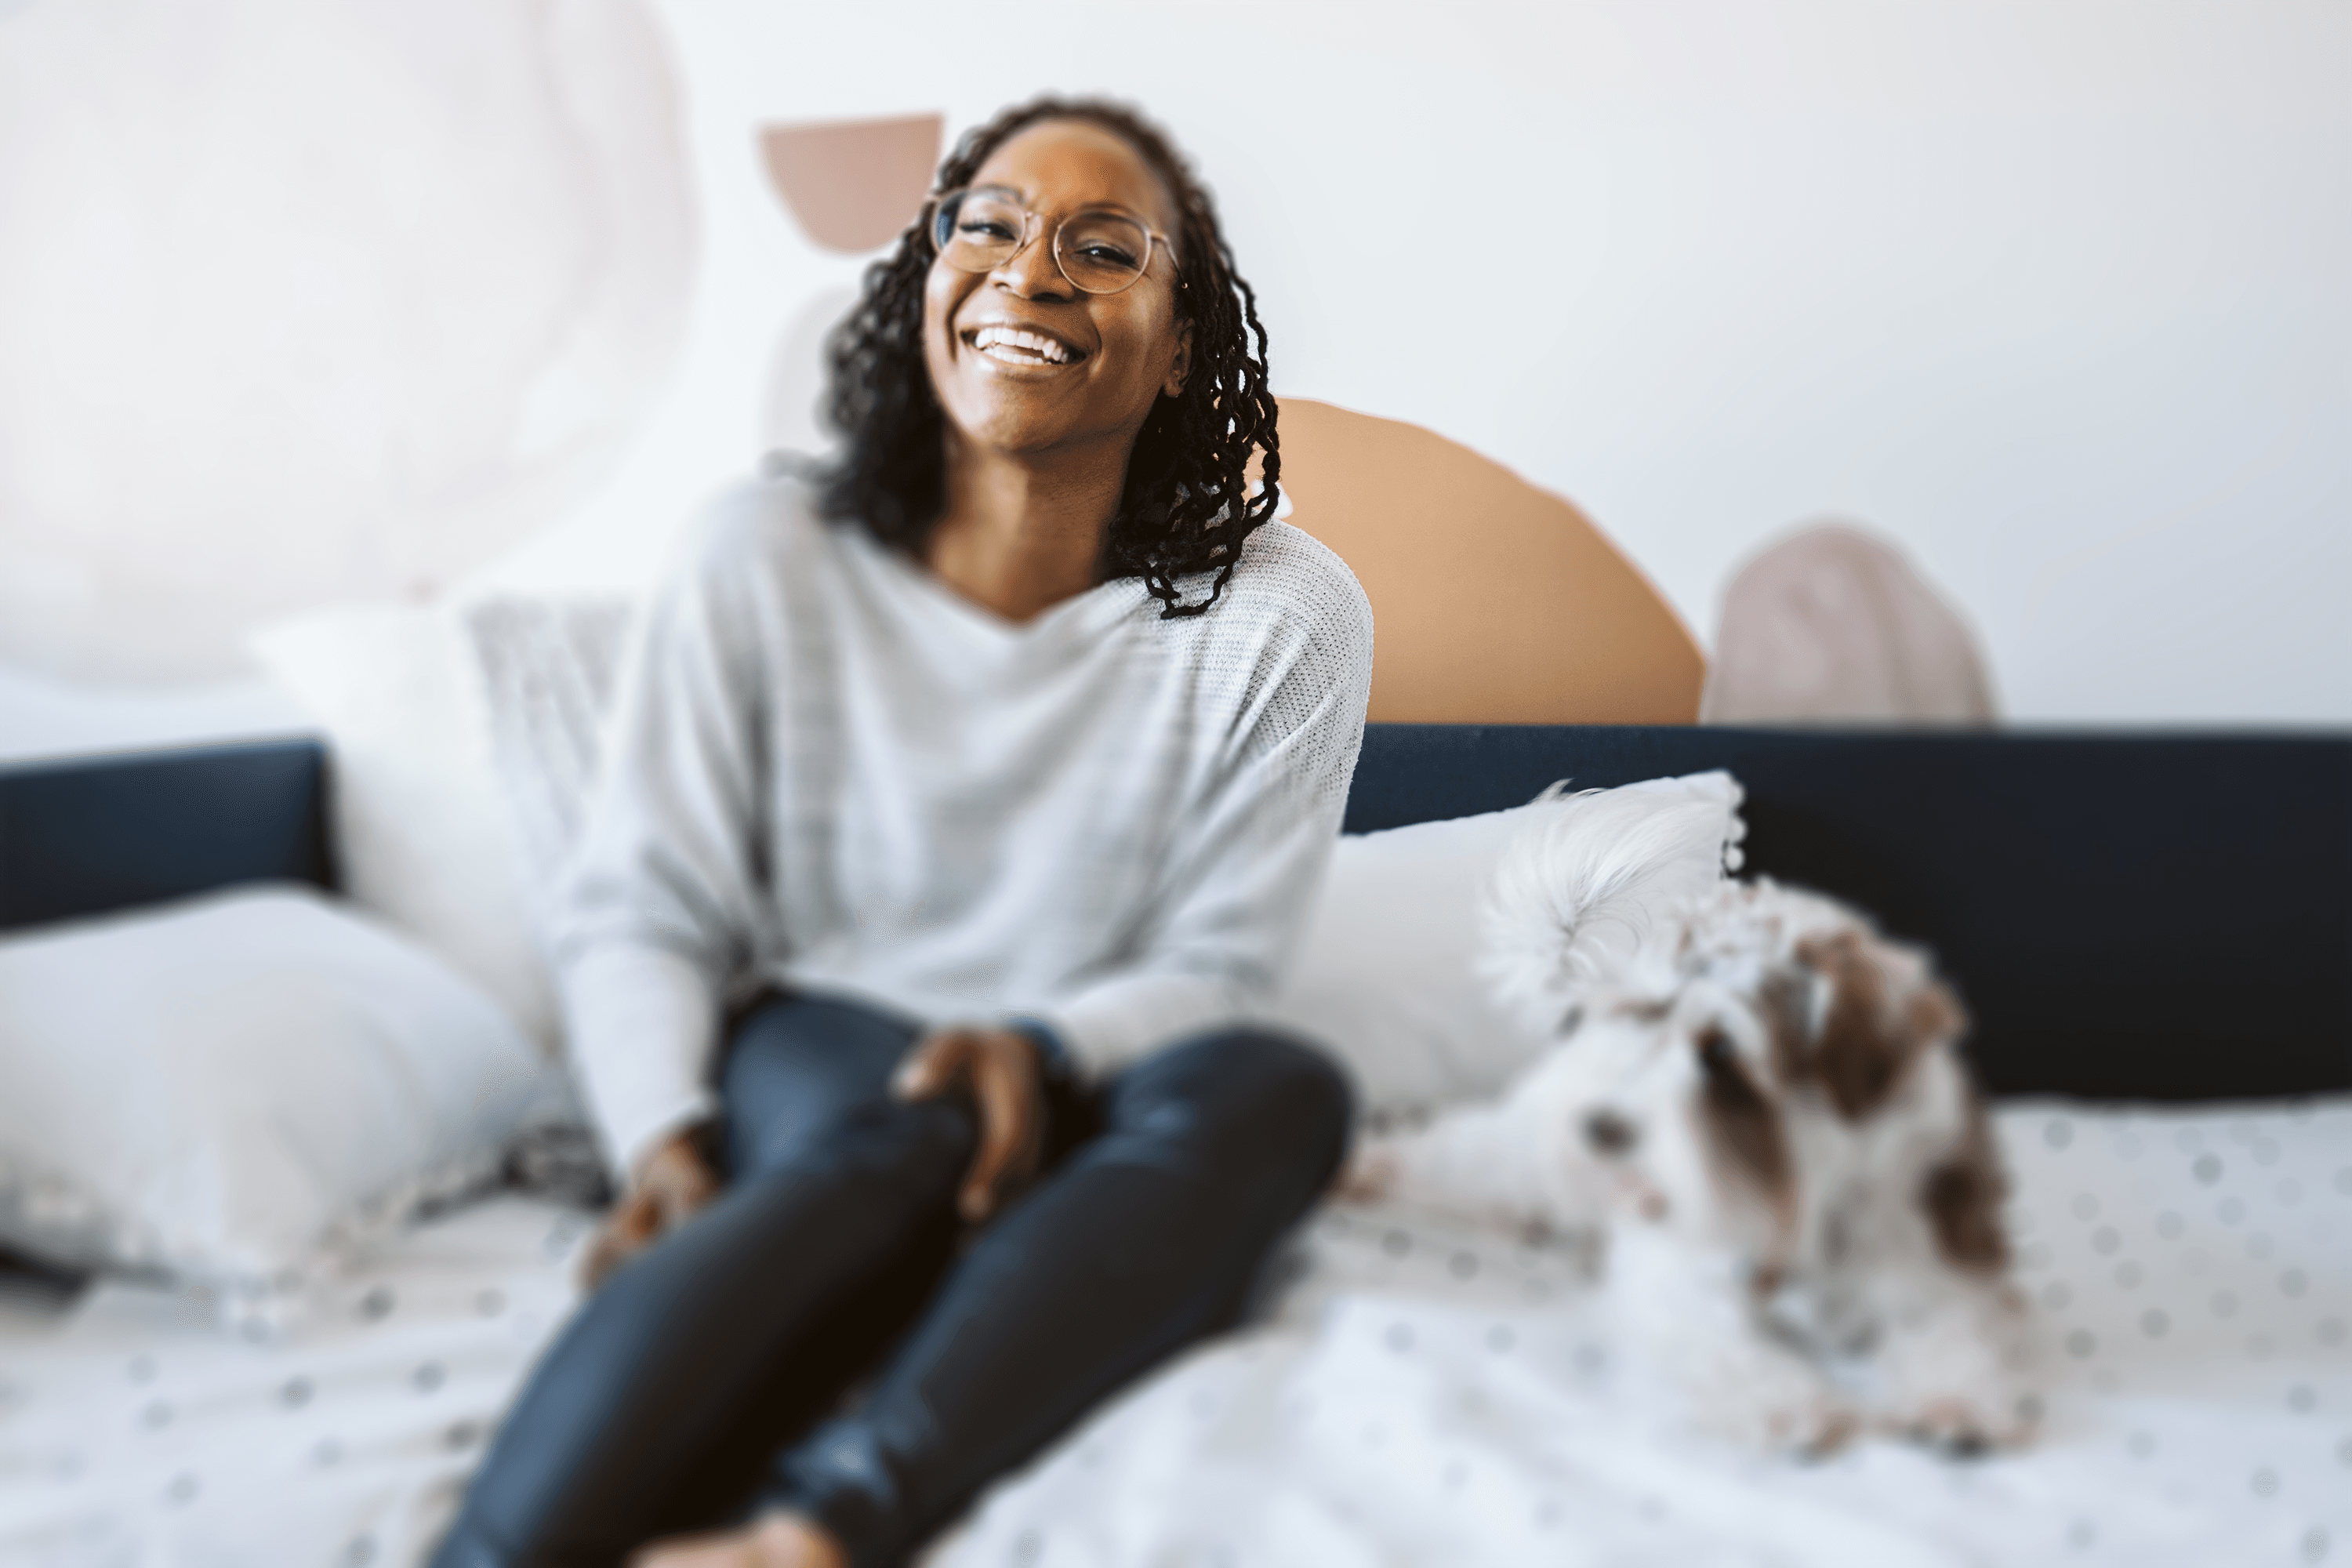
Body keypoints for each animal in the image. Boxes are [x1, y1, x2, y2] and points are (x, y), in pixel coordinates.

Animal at [1355, 789, 2032, 1457]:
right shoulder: (1681, 1276)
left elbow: (1954, 1327)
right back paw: (1369, 1169)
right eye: (1638, 1016)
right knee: (1458, 1157)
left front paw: (1958, 1400)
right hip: (1520, 1151)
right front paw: (1788, 1402)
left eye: (1722, 1051)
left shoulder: (1934, 1251)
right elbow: (1721, 1344)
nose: (1600, 1127)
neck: (1803, 1199)